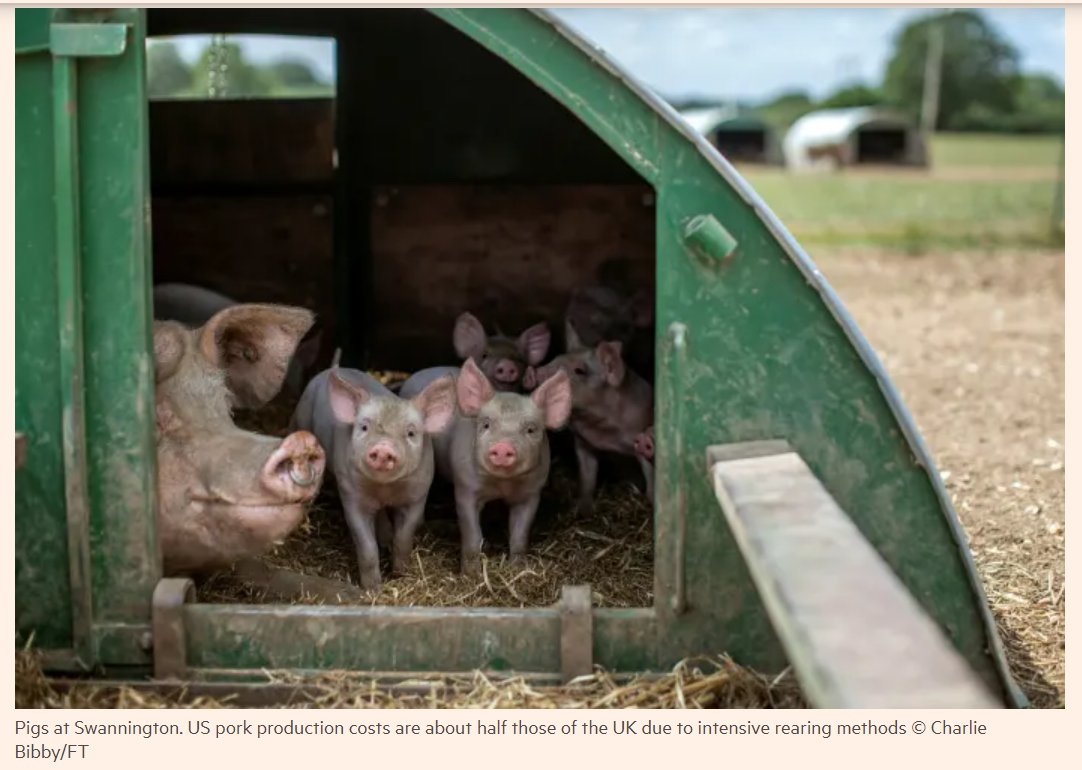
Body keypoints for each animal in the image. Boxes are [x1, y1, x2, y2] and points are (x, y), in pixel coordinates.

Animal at [289, 361, 454, 588]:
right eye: (364, 427)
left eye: (411, 433)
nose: (383, 448)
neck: (384, 488)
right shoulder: (351, 494)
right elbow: (366, 546)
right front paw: (373, 588)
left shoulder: (418, 495)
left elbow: (404, 538)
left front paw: (400, 574)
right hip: (301, 418)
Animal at [400, 356, 575, 575]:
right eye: (485, 424)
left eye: (531, 429)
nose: (502, 446)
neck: (502, 485)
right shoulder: (466, 488)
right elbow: (473, 536)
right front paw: (470, 575)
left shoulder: (531, 493)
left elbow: (520, 535)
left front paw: (517, 568)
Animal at [523, 341, 649, 510]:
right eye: (555, 358)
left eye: (579, 371)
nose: (534, 372)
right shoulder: (584, 443)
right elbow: (587, 476)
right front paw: (582, 509)